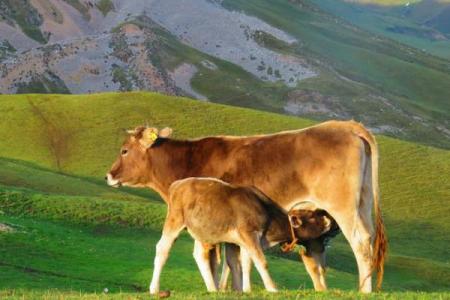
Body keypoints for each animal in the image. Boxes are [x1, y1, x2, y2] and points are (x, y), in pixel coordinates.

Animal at [148, 177, 334, 294]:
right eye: (312, 216)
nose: (328, 218)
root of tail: (178, 184)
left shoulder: (244, 240)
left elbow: (245, 264)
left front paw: (245, 290)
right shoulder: (249, 234)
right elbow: (261, 262)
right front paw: (272, 288)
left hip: (202, 230)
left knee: (200, 255)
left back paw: (212, 289)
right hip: (174, 221)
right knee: (162, 249)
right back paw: (154, 288)